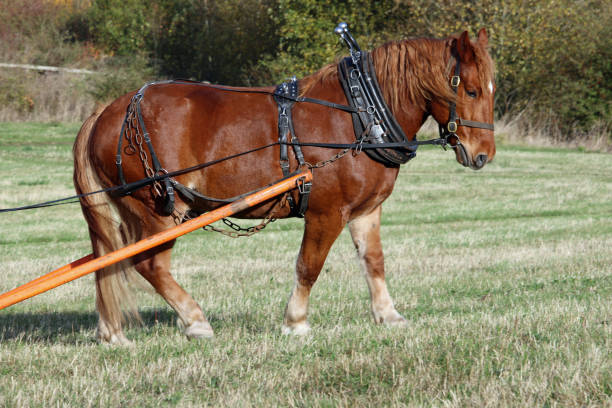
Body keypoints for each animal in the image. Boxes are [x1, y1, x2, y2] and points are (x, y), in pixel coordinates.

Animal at [73, 28, 492, 342]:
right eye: (470, 90)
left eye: (490, 89)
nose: (483, 155)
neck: (361, 116)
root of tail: (108, 111)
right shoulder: (326, 212)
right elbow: (309, 265)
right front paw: (296, 321)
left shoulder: (366, 210)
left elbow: (373, 261)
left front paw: (388, 315)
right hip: (158, 209)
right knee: (148, 264)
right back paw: (195, 321)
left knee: (107, 261)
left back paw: (112, 332)